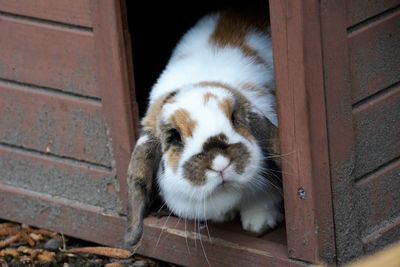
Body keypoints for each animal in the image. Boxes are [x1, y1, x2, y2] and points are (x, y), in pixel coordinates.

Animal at [125, 6, 284, 249]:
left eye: (234, 118)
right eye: (174, 137)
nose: (220, 163)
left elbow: (262, 201)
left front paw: (258, 224)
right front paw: (222, 217)